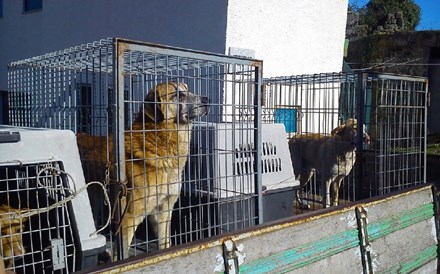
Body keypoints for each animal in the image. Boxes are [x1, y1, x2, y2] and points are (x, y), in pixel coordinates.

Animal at [76, 81, 209, 256]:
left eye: (188, 90)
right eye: (178, 95)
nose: (207, 99)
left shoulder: (163, 212)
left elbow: (165, 245)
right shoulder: (128, 217)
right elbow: (121, 255)